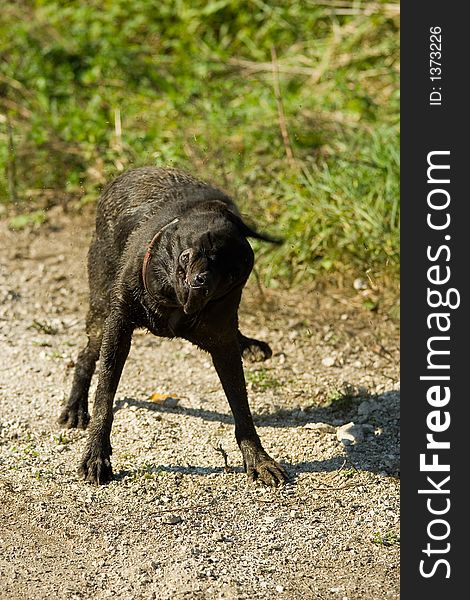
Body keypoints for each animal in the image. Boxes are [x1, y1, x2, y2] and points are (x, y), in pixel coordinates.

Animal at [58, 166, 286, 486]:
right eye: (199, 249)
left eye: (231, 274)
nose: (203, 281)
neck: (171, 301)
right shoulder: (118, 328)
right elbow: (104, 398)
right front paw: (96, 455)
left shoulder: (222, 342)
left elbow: (241, 408)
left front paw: (258, 458)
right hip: (100, 311)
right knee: (86, 355)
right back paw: (75, 407)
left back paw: (250, 345)